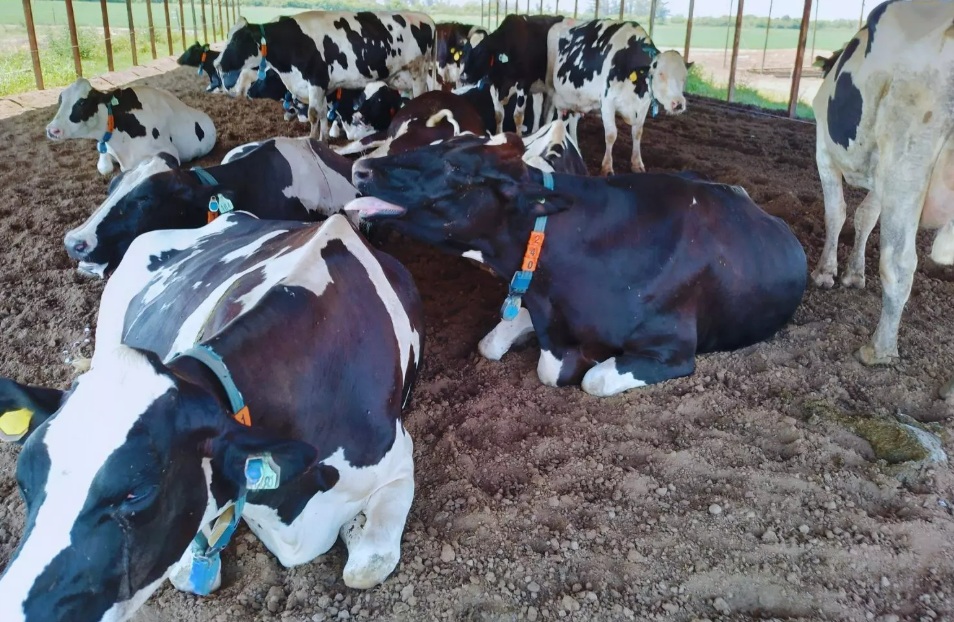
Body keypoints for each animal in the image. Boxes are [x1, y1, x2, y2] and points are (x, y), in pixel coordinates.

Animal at [0, 212, 424, 622]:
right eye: (24, 482)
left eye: (138, 492)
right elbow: (190, 571)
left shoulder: (400, 462)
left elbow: (366, 566)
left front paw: (354, 528)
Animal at [215, 12, 435, 141]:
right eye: (228, 36)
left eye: (238, 40)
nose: (217, 63)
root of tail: (425, 18)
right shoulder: (321, 87)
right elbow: (322, 113)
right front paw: (323, 141)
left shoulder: (316, 81)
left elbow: (313, 114)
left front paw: (312, 141)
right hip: (403, 78)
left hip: (418, 72)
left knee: (420, 97)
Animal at [346, 133, 806, 396]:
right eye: (437, 146)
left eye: (457, 168)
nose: (361, 166)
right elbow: (492, 344)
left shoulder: (671, 350)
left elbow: (590, 377)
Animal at [546, 19, 690, 175]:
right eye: (661, 74)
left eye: (684, 77)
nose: (679, 104)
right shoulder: (608, 102)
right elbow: (611, 135)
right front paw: (607, 167)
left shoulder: (644, 104)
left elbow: (637, 132)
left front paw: (637, 163)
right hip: (550, 87)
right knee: (550, 114)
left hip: (577, 99)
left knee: (571, 119)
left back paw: (576, 148)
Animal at [809, 0, 954, 399]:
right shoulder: (880, 177)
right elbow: (863, 216)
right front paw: (853, 274)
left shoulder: (823, 150)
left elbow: (837, 213)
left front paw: (826, 272)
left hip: (910, 155)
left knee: (900, 262)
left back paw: (879, 350)